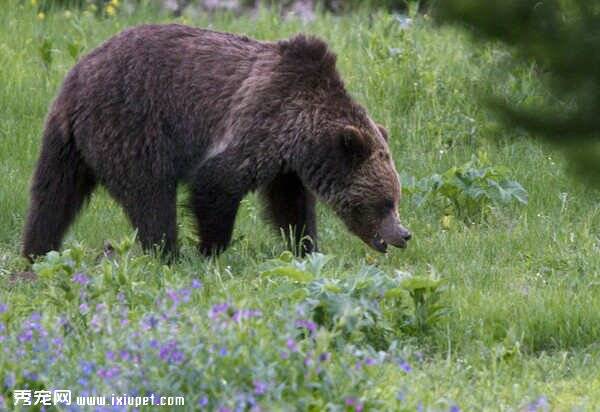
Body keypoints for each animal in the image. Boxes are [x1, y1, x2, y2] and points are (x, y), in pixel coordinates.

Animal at [21, 24, 410, 260]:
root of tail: (76, 79)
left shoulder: (285, 163)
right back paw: (168, 253)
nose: (403, 234)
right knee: (150, 196)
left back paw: (36, 251)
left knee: (53, 196)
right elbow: (216, 182)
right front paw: (211, 250)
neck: (302, 134)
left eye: (394, 198)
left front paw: (306, 247)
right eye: (385, 201)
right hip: (130, 126)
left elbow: (290, 205)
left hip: (67, 144)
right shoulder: (260, 120)